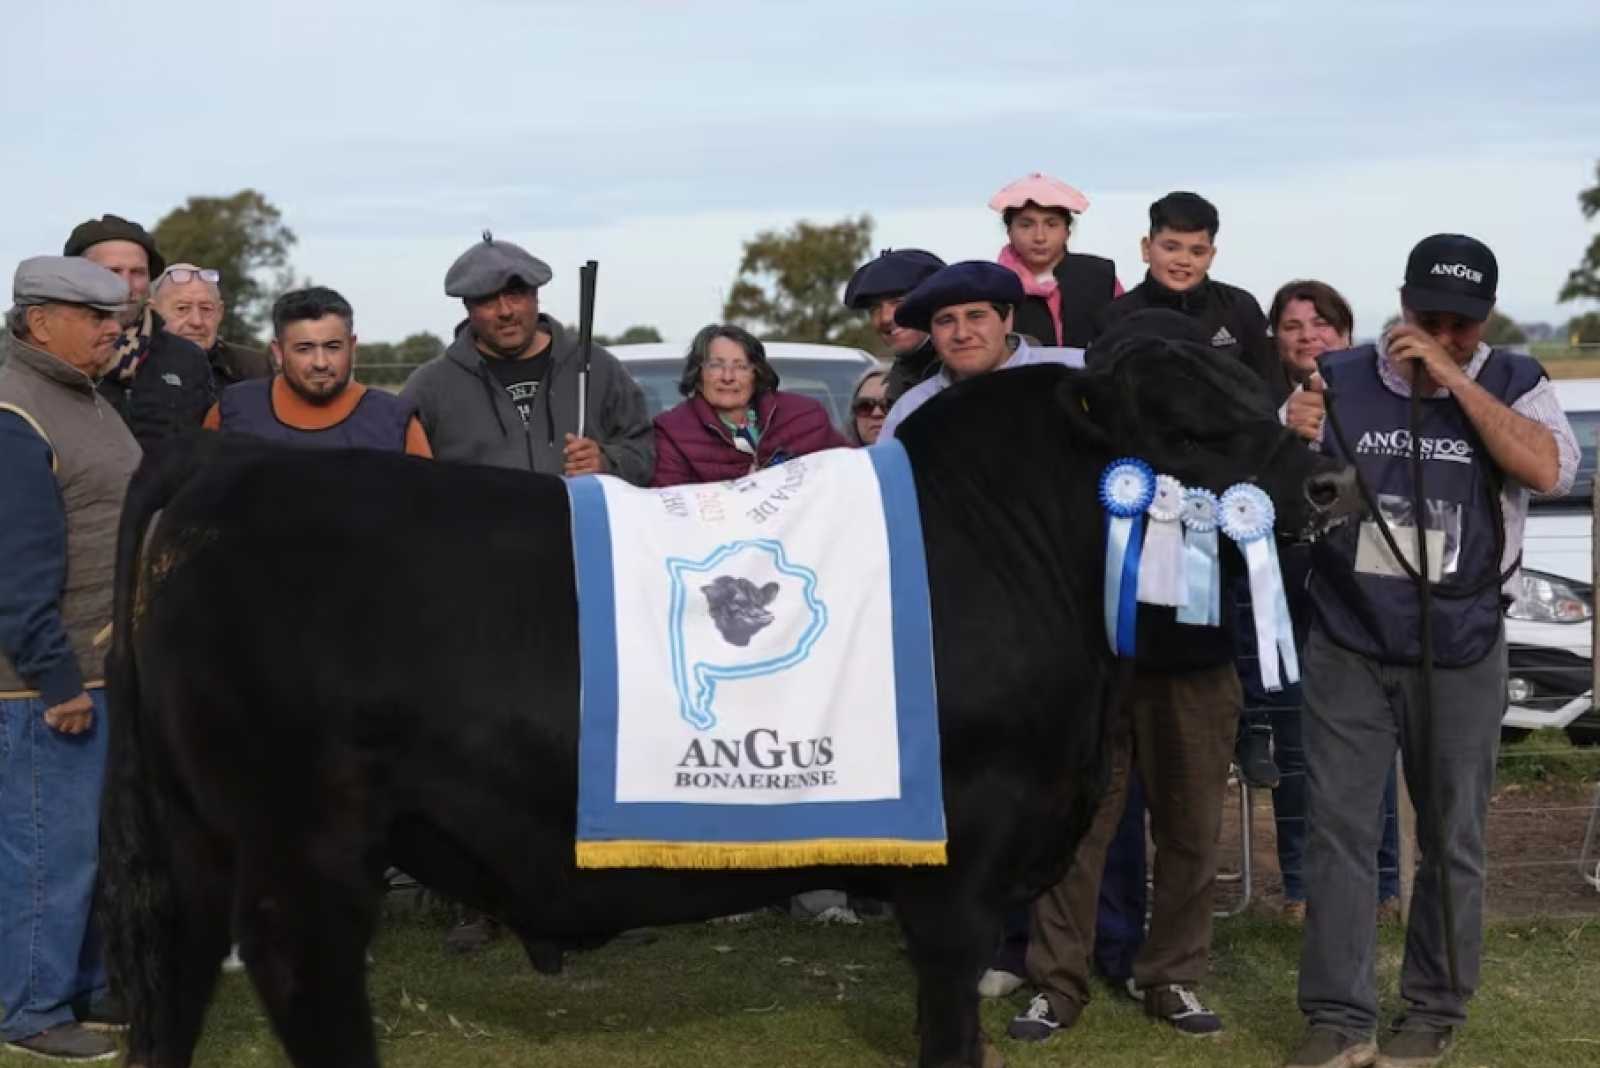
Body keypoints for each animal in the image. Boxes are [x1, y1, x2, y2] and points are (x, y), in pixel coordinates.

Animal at [96, 340, 1350, 1068]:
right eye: (1182, 426)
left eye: (1260, 392)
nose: (1331, 481)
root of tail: (221, 466)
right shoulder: (963, 846)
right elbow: (948, 1017)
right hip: (303, 849)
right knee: (302, 985)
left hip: (195, 841)